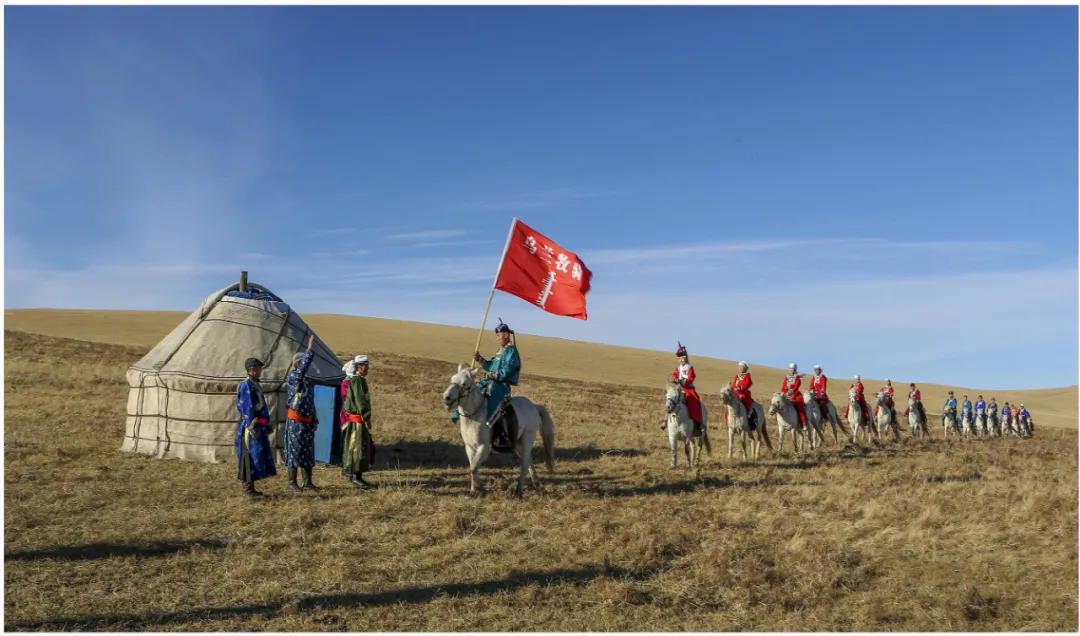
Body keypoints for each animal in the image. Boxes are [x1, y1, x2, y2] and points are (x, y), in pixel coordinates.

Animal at [440, 362, 557, 496]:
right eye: (452, 379)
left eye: (464, 383)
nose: (446, 398)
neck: (475, 415)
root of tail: (534, 406)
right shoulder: (469, 447)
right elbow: (473, 466)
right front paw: (474, 489)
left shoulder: (484, 447)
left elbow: (473, 468)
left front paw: (477, 489)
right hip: (518, 442)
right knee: (529, 459)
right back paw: (536, 483)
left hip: (528, 437)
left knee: (524, 462)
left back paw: (519, 490)